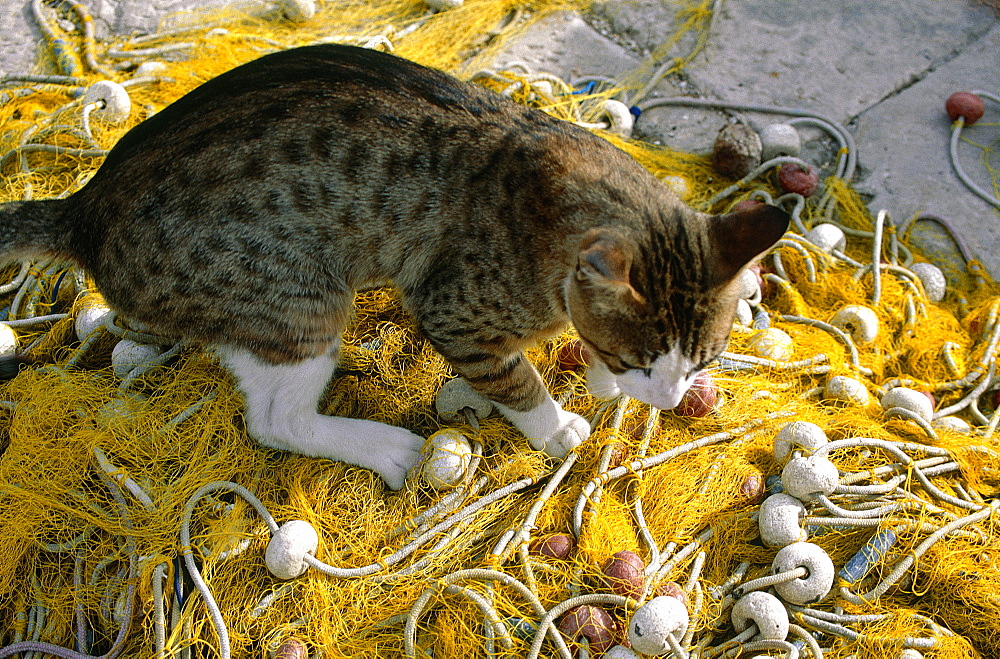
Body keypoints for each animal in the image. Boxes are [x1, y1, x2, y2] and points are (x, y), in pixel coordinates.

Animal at [0, 45, 788, 490]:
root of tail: (86, 209)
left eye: (704, 358)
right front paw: (555, 424)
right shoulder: (454, 309)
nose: (669, 398)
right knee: (276, 420)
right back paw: (386, 448)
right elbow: (515, 378)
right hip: (297, 300)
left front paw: (596, 377)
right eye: (643, 355)